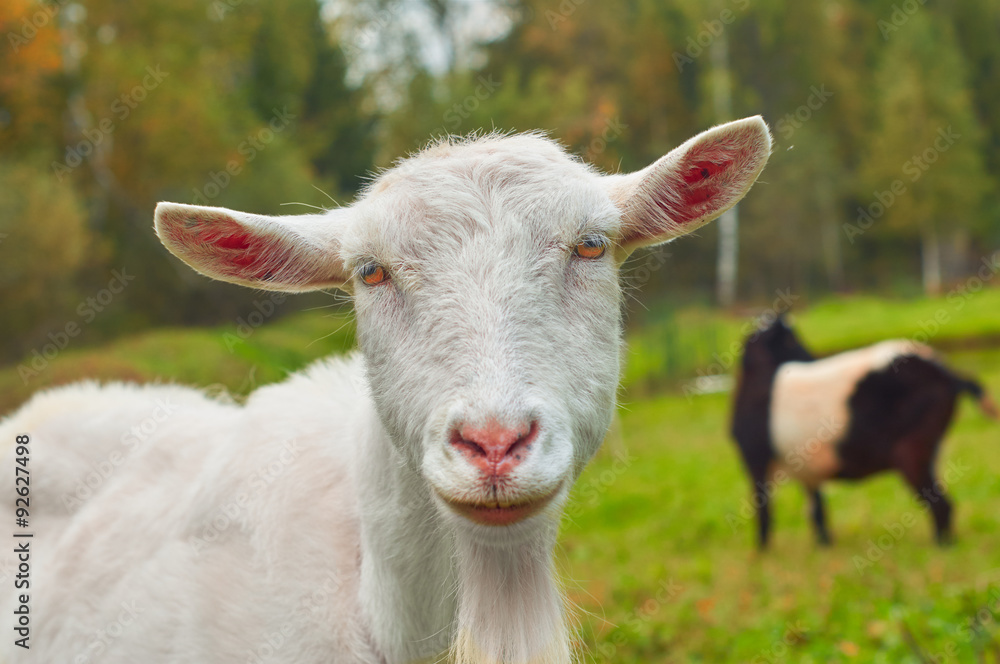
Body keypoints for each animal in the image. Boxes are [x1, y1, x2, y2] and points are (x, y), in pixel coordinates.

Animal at [732, 316, 996, 548]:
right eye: (788, 341)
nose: (810, 359)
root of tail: (948, 374)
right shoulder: (805, 467)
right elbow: (816, 510)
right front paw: (824, 547)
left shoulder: (756, 459)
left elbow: (764, 511)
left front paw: (761, 554)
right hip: (931, 451)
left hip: (912, 451)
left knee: (941, 504)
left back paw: (942, 547)